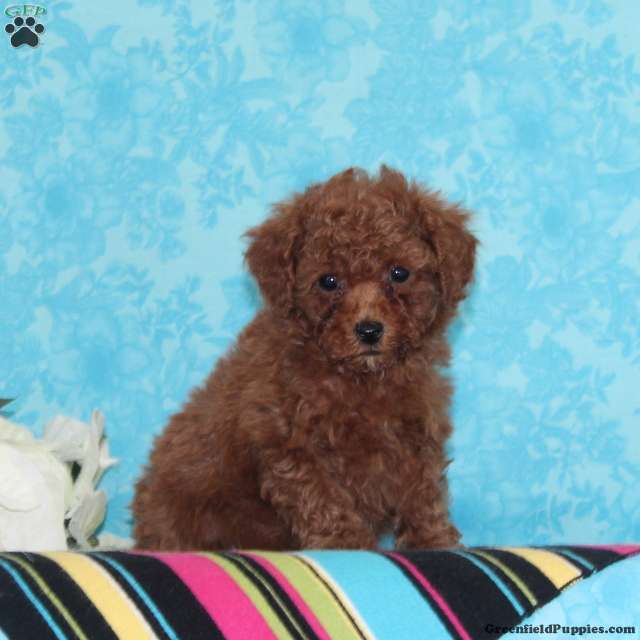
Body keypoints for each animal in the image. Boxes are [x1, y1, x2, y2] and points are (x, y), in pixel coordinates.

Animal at [132, 166, 477, 550]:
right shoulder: (289, 442)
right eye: (328, 281)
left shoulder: (417, 431)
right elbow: (323, 498)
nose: (369, 330)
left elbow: (423, 492)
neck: (362, 379)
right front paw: (345, 543)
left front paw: (433, 539)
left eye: (399, 273)